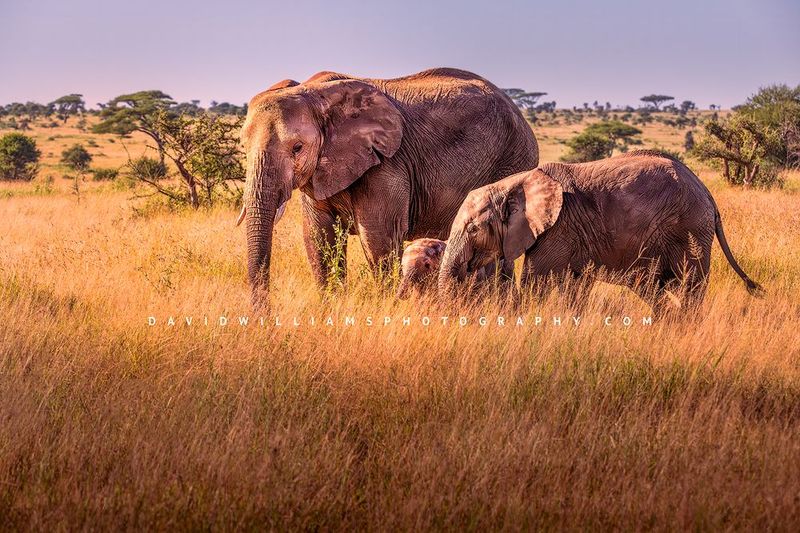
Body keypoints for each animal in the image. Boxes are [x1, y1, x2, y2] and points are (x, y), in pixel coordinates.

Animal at [236, 68, 538, 306]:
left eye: (297, 147)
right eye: (243, 145)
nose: (264, 316)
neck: (315, 93)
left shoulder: (387, 165)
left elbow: (378, 239)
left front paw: (386, 307)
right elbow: (318, 238)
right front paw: (331, 308)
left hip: (513, 160)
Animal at [437, 150, 763, 314]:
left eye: (474, 229)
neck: (515, 183)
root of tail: (708, 193)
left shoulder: (559, 228)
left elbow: (536, 281)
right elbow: (576, 286)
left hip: (690, 229)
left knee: (689, 284)